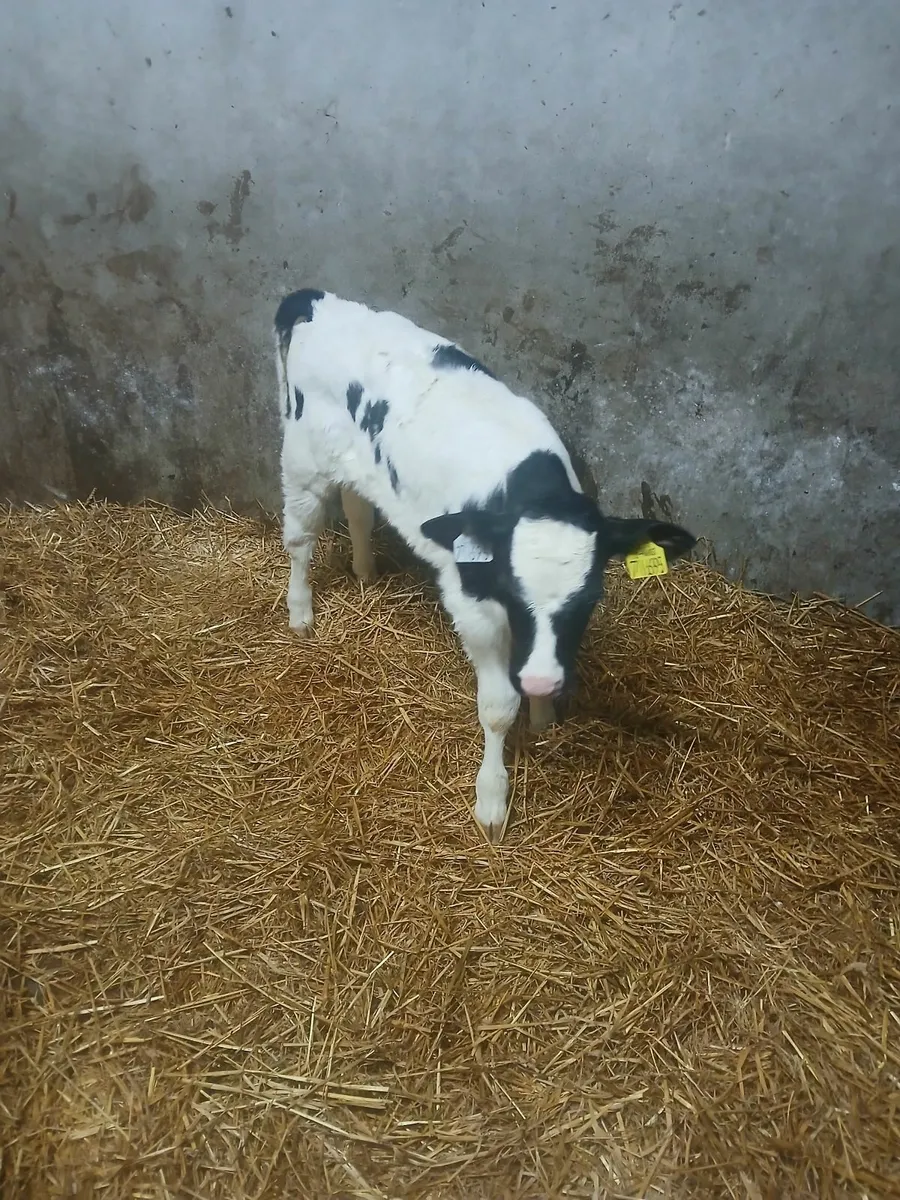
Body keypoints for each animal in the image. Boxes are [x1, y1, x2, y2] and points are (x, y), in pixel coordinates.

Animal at [274, 288, 696, 841]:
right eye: (512, 592)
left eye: (589, 599)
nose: (540, 683)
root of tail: (317, 300)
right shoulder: (473, 603)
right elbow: (497, 709)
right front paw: (492, 800)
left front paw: (542, 716)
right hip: (302, 461)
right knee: (300, 540)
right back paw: (301, 613)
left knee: (358, 508)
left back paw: (364, 571)